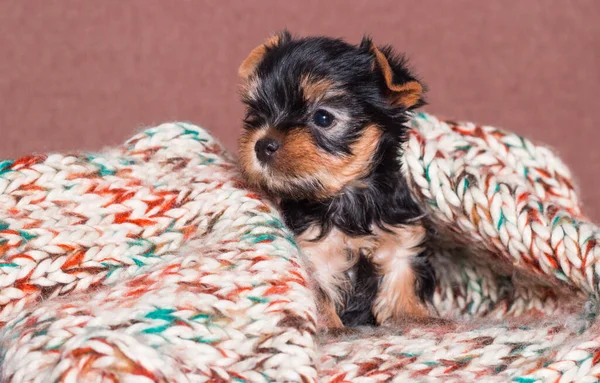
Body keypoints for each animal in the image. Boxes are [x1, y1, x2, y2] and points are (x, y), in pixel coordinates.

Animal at [237, 30, 434, 330]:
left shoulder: (400, 240)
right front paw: (330, 327)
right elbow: (319, 297)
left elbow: (402, 283)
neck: (347, 198)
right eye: (257, 113)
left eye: (323, 117)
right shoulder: (313, 254)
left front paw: (412, 318)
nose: (262, 145)